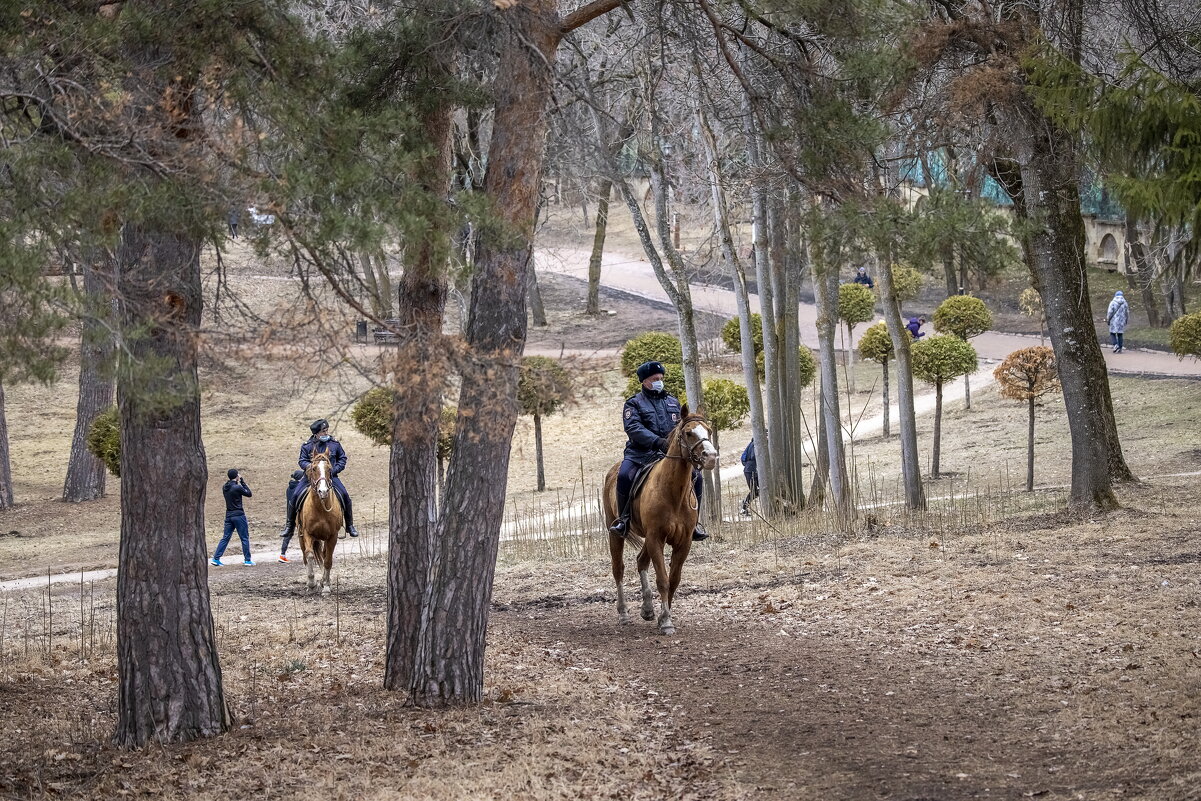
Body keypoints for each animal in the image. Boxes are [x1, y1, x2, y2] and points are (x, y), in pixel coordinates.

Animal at [296, 453, 341, 593]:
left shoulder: (332, 536)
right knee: (304, 556)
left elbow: (328, 560)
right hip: (301, 537)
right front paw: (312, 584)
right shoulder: (307, 533)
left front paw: (325, 586)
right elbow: (309, 555)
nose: (323, 491)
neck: (320, 508)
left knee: (325, 555)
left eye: (329, 469)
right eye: (314, 468)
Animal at [605, 410, 715, 634]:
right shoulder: (656, 538)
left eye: (708, 430)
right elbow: (662, 580)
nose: (711, 457)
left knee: (641, 561)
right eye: (689, 433)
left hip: (647, 538)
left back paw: (647, 609)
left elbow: (673, 580)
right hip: (616, 533)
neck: (673, 492)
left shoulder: (684, 542)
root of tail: (612, 472)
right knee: (618, 568)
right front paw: (666, 622)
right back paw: (623, 613)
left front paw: (664, 616)